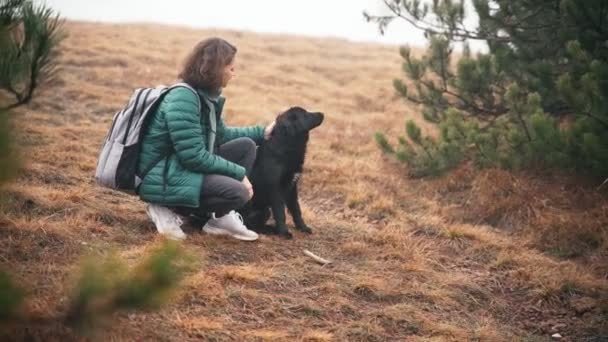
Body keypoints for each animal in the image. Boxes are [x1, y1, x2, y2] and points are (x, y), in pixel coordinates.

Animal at [240, 106, 324, 238]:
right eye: (305, 115)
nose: (322, 114)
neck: (286, 146)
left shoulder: (292, 188)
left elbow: (296, 210)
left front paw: (303, 227)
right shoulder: (276, 189)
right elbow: (280, 213)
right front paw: (284, 232)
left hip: (265, 211)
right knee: (248, 224)